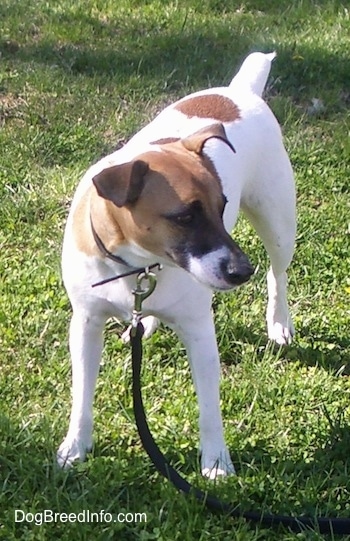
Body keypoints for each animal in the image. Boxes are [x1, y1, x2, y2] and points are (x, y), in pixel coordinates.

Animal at [56, 51, 296, 476]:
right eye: (184, 217)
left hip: (279, 224)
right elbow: (82, 392)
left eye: (223, 206)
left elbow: (210, 409)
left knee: (278, 273)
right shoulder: (86, 323)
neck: (136, 263)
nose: (241, 271)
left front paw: (216, 462)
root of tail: (241, 89)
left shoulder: (199, 330)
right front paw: (75, 446)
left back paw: (279, 323)